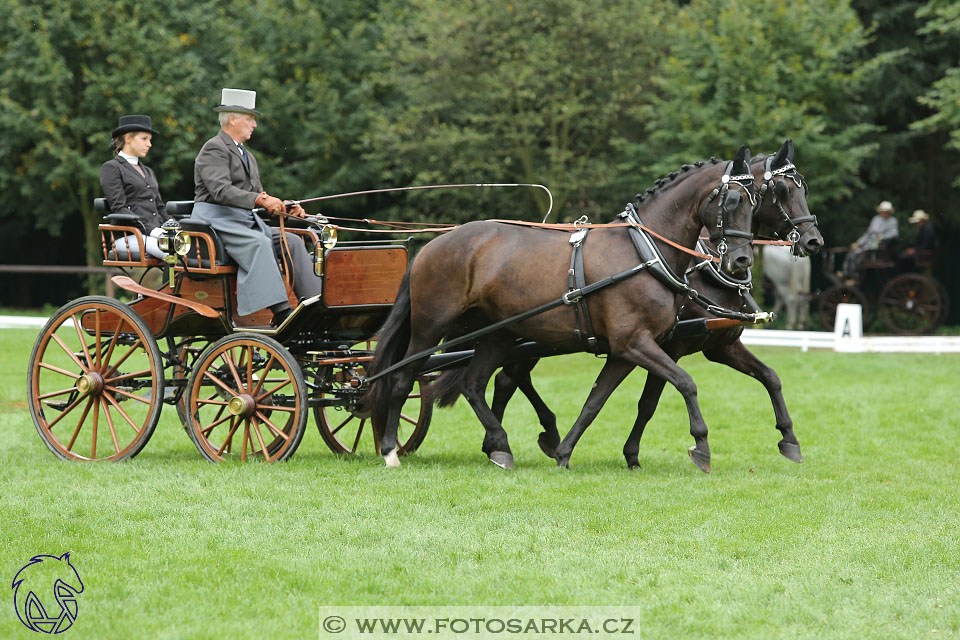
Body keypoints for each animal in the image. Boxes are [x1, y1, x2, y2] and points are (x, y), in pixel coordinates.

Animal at [366, 149, 756, 470]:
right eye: (732, 200)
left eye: (754, 204)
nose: (741, 261)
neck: (643, 252)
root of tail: (433, 245)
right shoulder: (635, 342)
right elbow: (686, 383)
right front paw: (701, 447)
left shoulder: (626, 351)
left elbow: (594, 401)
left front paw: (564, 452)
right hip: (429, 328)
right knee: (402, 379)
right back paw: (390, 449)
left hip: (497, 334)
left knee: (474, 383)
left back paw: (500, 447)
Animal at [492, 140, 820, 470]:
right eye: (782, 190)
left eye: (802, 189)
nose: (814, 240)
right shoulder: (668, 347)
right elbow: (650, 402)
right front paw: (639, 452)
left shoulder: (720, 345)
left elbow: (770, 377)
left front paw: (789, 439)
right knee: (507, 378)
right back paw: (512, 439)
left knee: (509, 378)